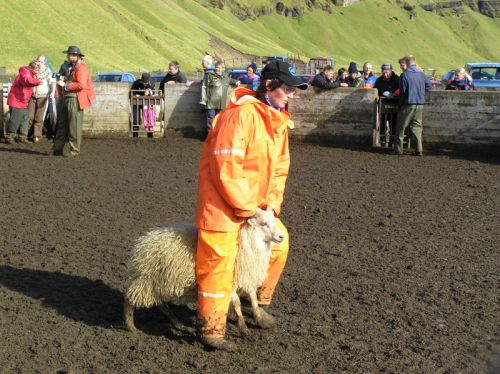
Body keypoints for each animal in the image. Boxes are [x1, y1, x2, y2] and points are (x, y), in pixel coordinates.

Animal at [123, 206, 284, 334]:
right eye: (264, 224)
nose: (281, 236)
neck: (246, 242)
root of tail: (143, 242)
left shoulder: (247, 276)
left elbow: (253, 298)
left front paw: (259, 318)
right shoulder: (230, 281)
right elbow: (238, 303)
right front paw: (244, 328)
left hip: (157, 283)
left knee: (161, 305)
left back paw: (178, 324)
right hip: (145, 280)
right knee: (130, 300)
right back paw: (131, 326)